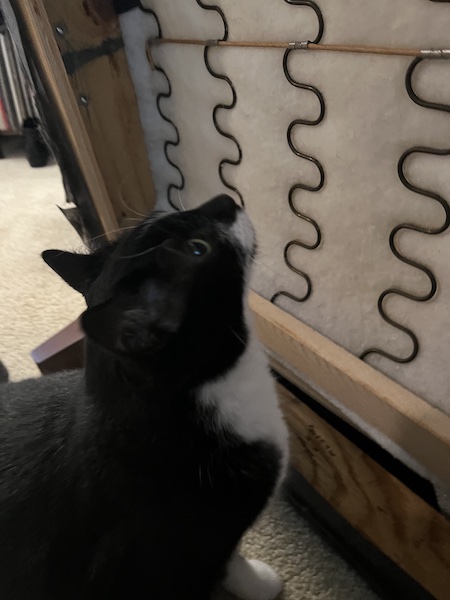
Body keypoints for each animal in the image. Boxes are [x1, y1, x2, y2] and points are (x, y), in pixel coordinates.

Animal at [0, 195, 288, 596]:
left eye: (162, 212)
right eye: (198, 249)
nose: (223, 200)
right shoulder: (193, 544)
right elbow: (229, 563)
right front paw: (262, 583)